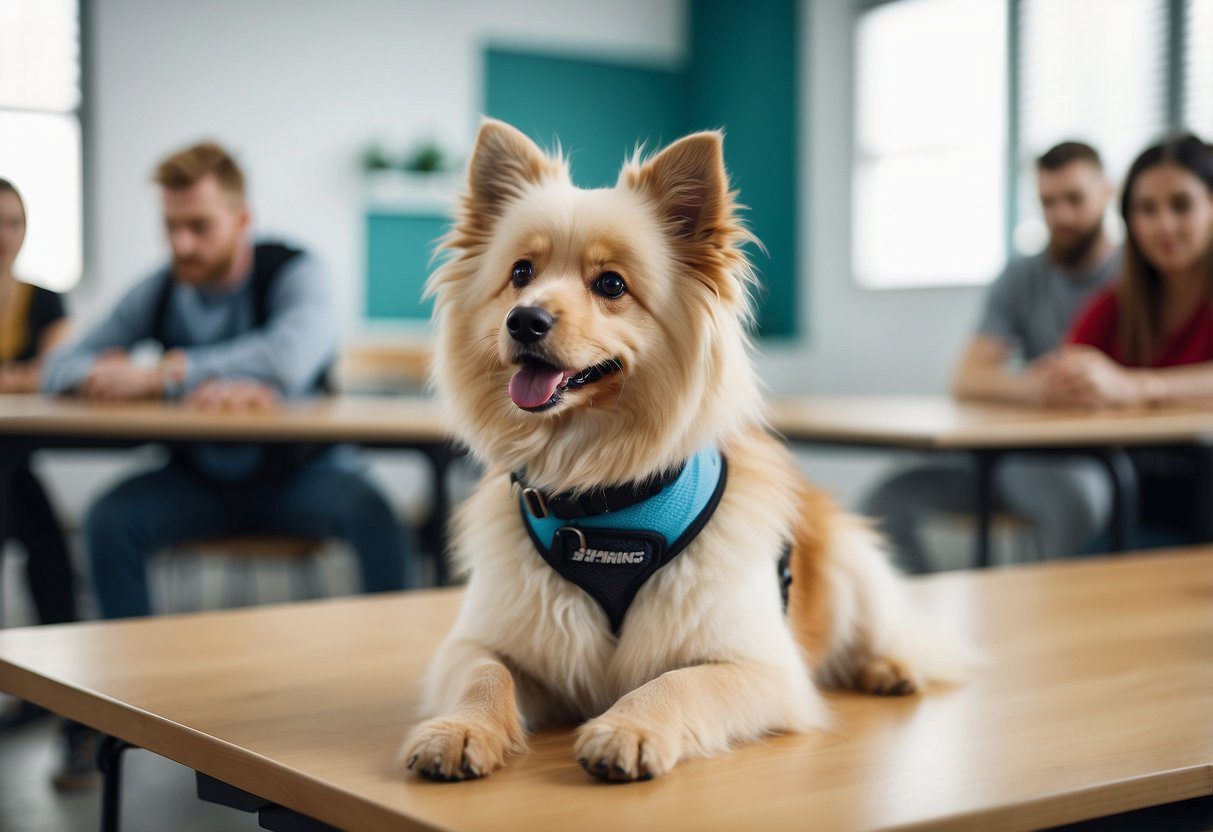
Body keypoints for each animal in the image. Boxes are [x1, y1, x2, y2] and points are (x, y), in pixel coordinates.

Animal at [402, 117, 970, 781]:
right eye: (520, 273)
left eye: (611, 284)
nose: (524, 320)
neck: (600, 499)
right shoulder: (482, 640)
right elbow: (484, 675)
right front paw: (462, 728)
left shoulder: (761, 668)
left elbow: (677, 682)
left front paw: (629, 727)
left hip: (854, 572)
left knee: (887, 636)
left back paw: (886, 668)